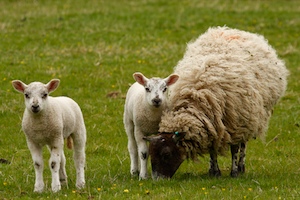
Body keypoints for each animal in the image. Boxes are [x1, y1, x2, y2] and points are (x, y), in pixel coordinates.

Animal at [144, 27, 290, 180]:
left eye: (166, 154)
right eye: (150, 153)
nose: (157, 180)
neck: (197, 95)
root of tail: (232, 30)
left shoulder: (235, 124)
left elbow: (234, 149)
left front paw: (234, 172)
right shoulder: (211, 125)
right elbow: (212, 149)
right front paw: (214, 171)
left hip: (248, 118)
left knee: (243, 144)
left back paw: (241, 167)